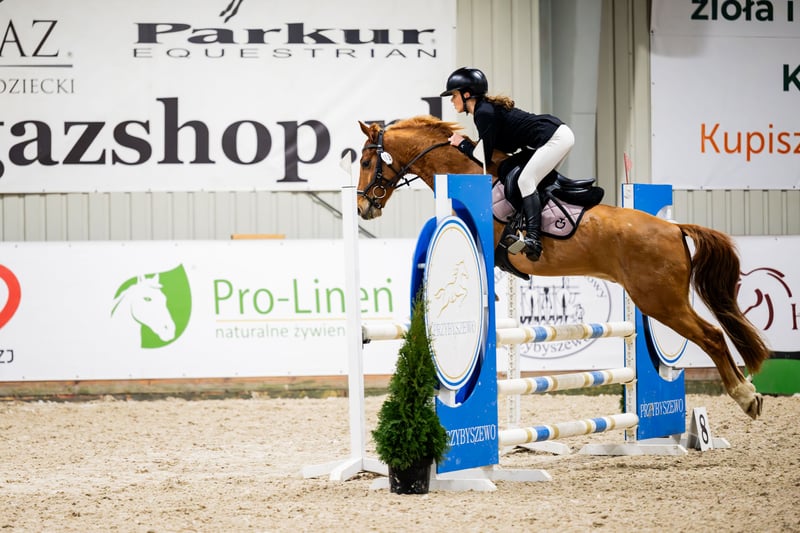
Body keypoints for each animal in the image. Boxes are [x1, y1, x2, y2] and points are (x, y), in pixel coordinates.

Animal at [356, 115, 770, 420]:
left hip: (660, 301)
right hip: (663, 300)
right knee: (714, 335)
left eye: (364, 161)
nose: (362, 207)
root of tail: (673, 227)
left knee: (712, 336)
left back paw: (745, 396)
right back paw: (749, 393)